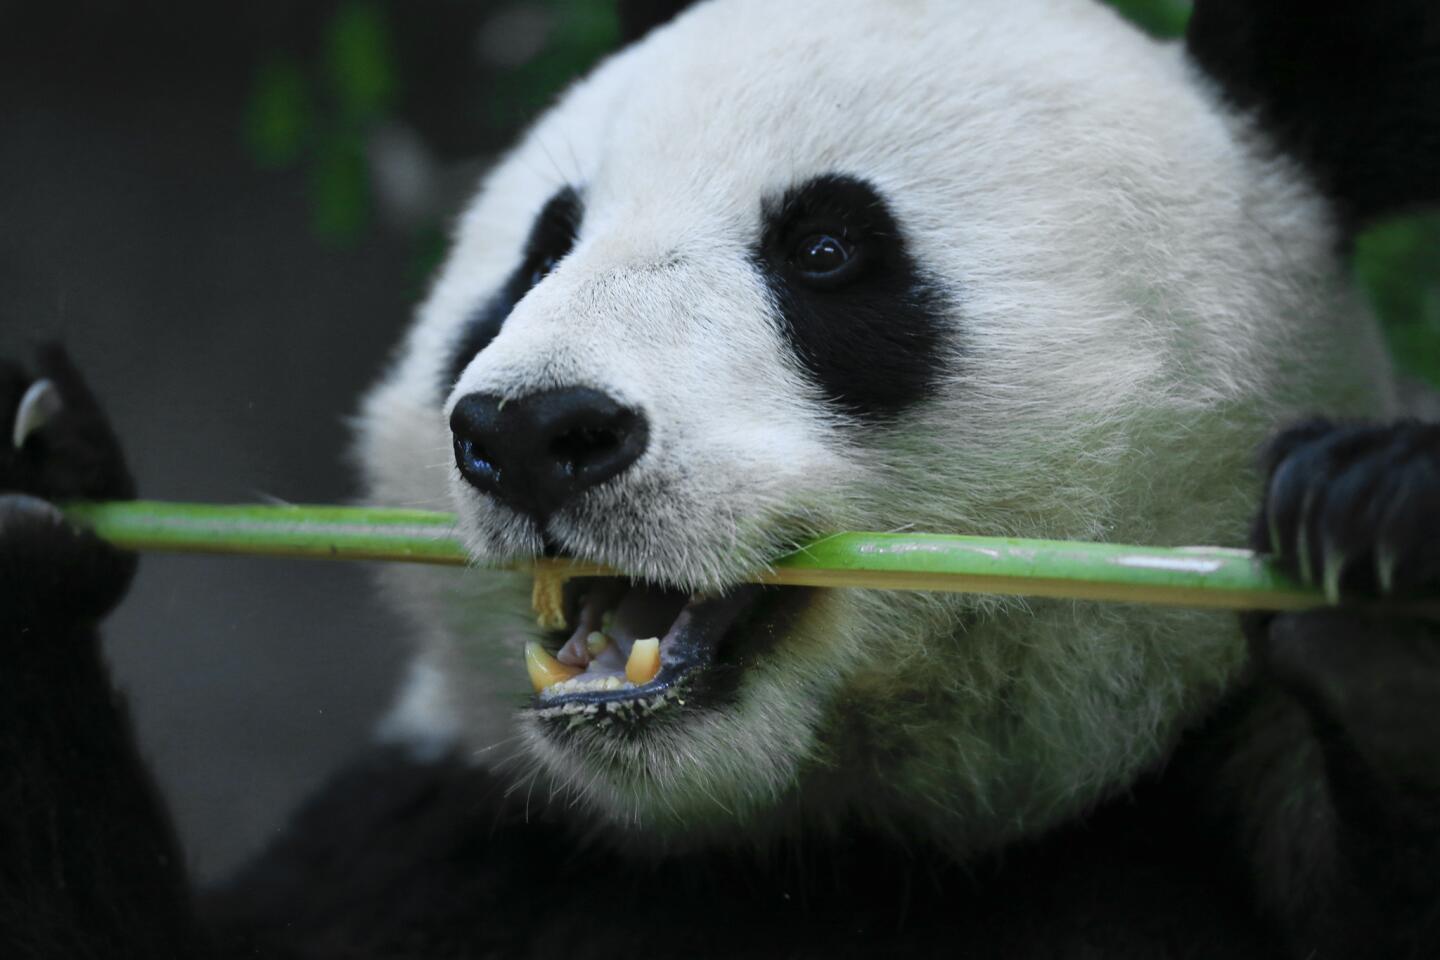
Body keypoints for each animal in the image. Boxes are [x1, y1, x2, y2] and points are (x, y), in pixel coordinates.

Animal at [2, 0, 1440, 955]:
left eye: (826, 249)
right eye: (541, 250)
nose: (534, 431)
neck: (823, 837)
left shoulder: (1194, 815)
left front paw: (1377, 560)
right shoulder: (450, 845)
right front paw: (28, 475)